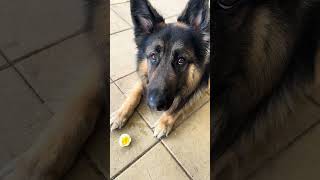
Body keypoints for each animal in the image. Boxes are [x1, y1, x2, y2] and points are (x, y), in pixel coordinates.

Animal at [110, 0, 210, 139]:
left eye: (181, 60)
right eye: (153, 56)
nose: (154, 105)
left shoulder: (195, 84)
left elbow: (177, 106)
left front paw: (164, 123)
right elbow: (135, 92)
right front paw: (121, 113)